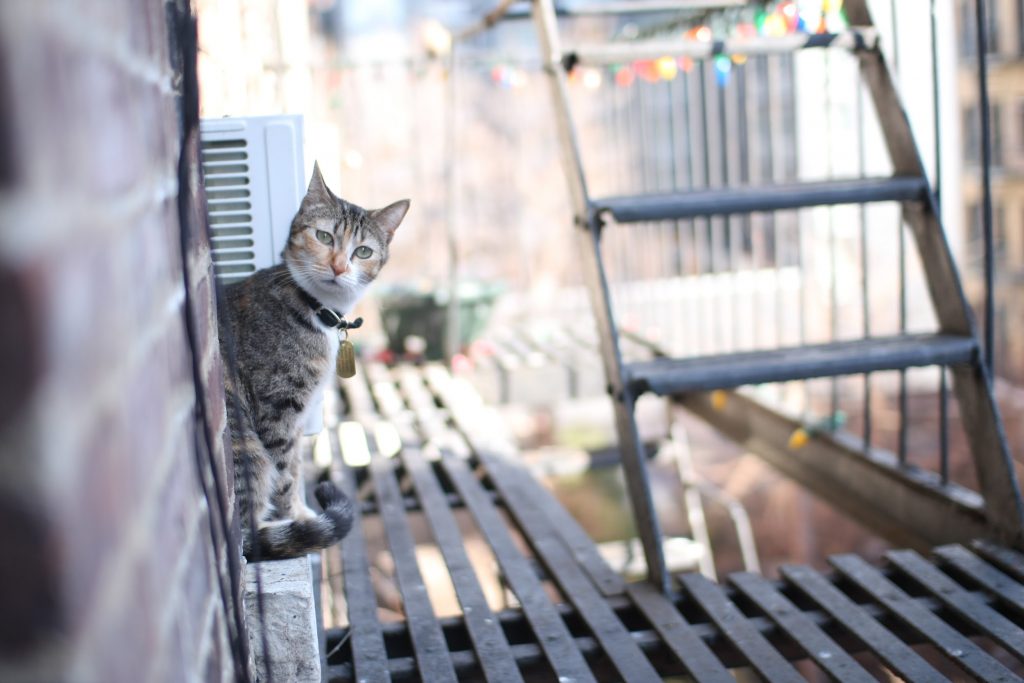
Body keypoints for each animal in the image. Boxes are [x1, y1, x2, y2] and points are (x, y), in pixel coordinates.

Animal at [218, 163, 409, 561]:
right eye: (323, 236)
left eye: (363, 251)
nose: (338, 267)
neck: (315, 309)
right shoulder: (278, 408)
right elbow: (285, 475)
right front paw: (299, 519)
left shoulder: (297, 415)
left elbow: (293, 465)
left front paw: (301, 515)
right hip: (249, 449)